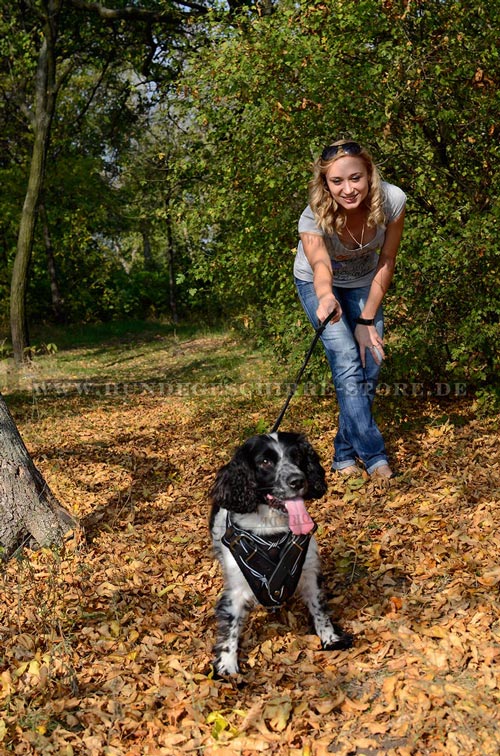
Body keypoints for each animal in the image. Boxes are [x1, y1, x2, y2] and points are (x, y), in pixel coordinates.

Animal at [209, 434, 354, 676]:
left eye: (297, 455)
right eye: (265, 462)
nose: (298, 480)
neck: (271, 532)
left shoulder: (309, 572)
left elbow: (319, 608)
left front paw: (330, 637)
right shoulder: (236, 589)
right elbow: (230, 628)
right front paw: (227, 665)